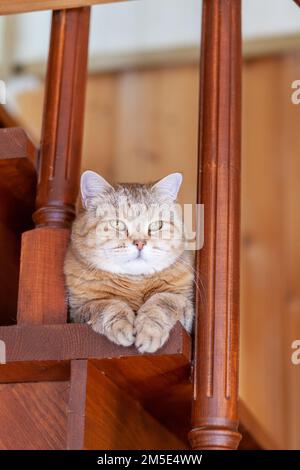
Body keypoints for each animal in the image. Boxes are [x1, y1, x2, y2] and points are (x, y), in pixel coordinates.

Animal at [64, 172, 193, 352]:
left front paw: (148, 330)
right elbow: (108, 305)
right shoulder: (77, 311)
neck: (135, 282)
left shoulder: (184, 303)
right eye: (117, 224)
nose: (139, 243)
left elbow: (161, 302)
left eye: (157, 225)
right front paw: (121, 325)